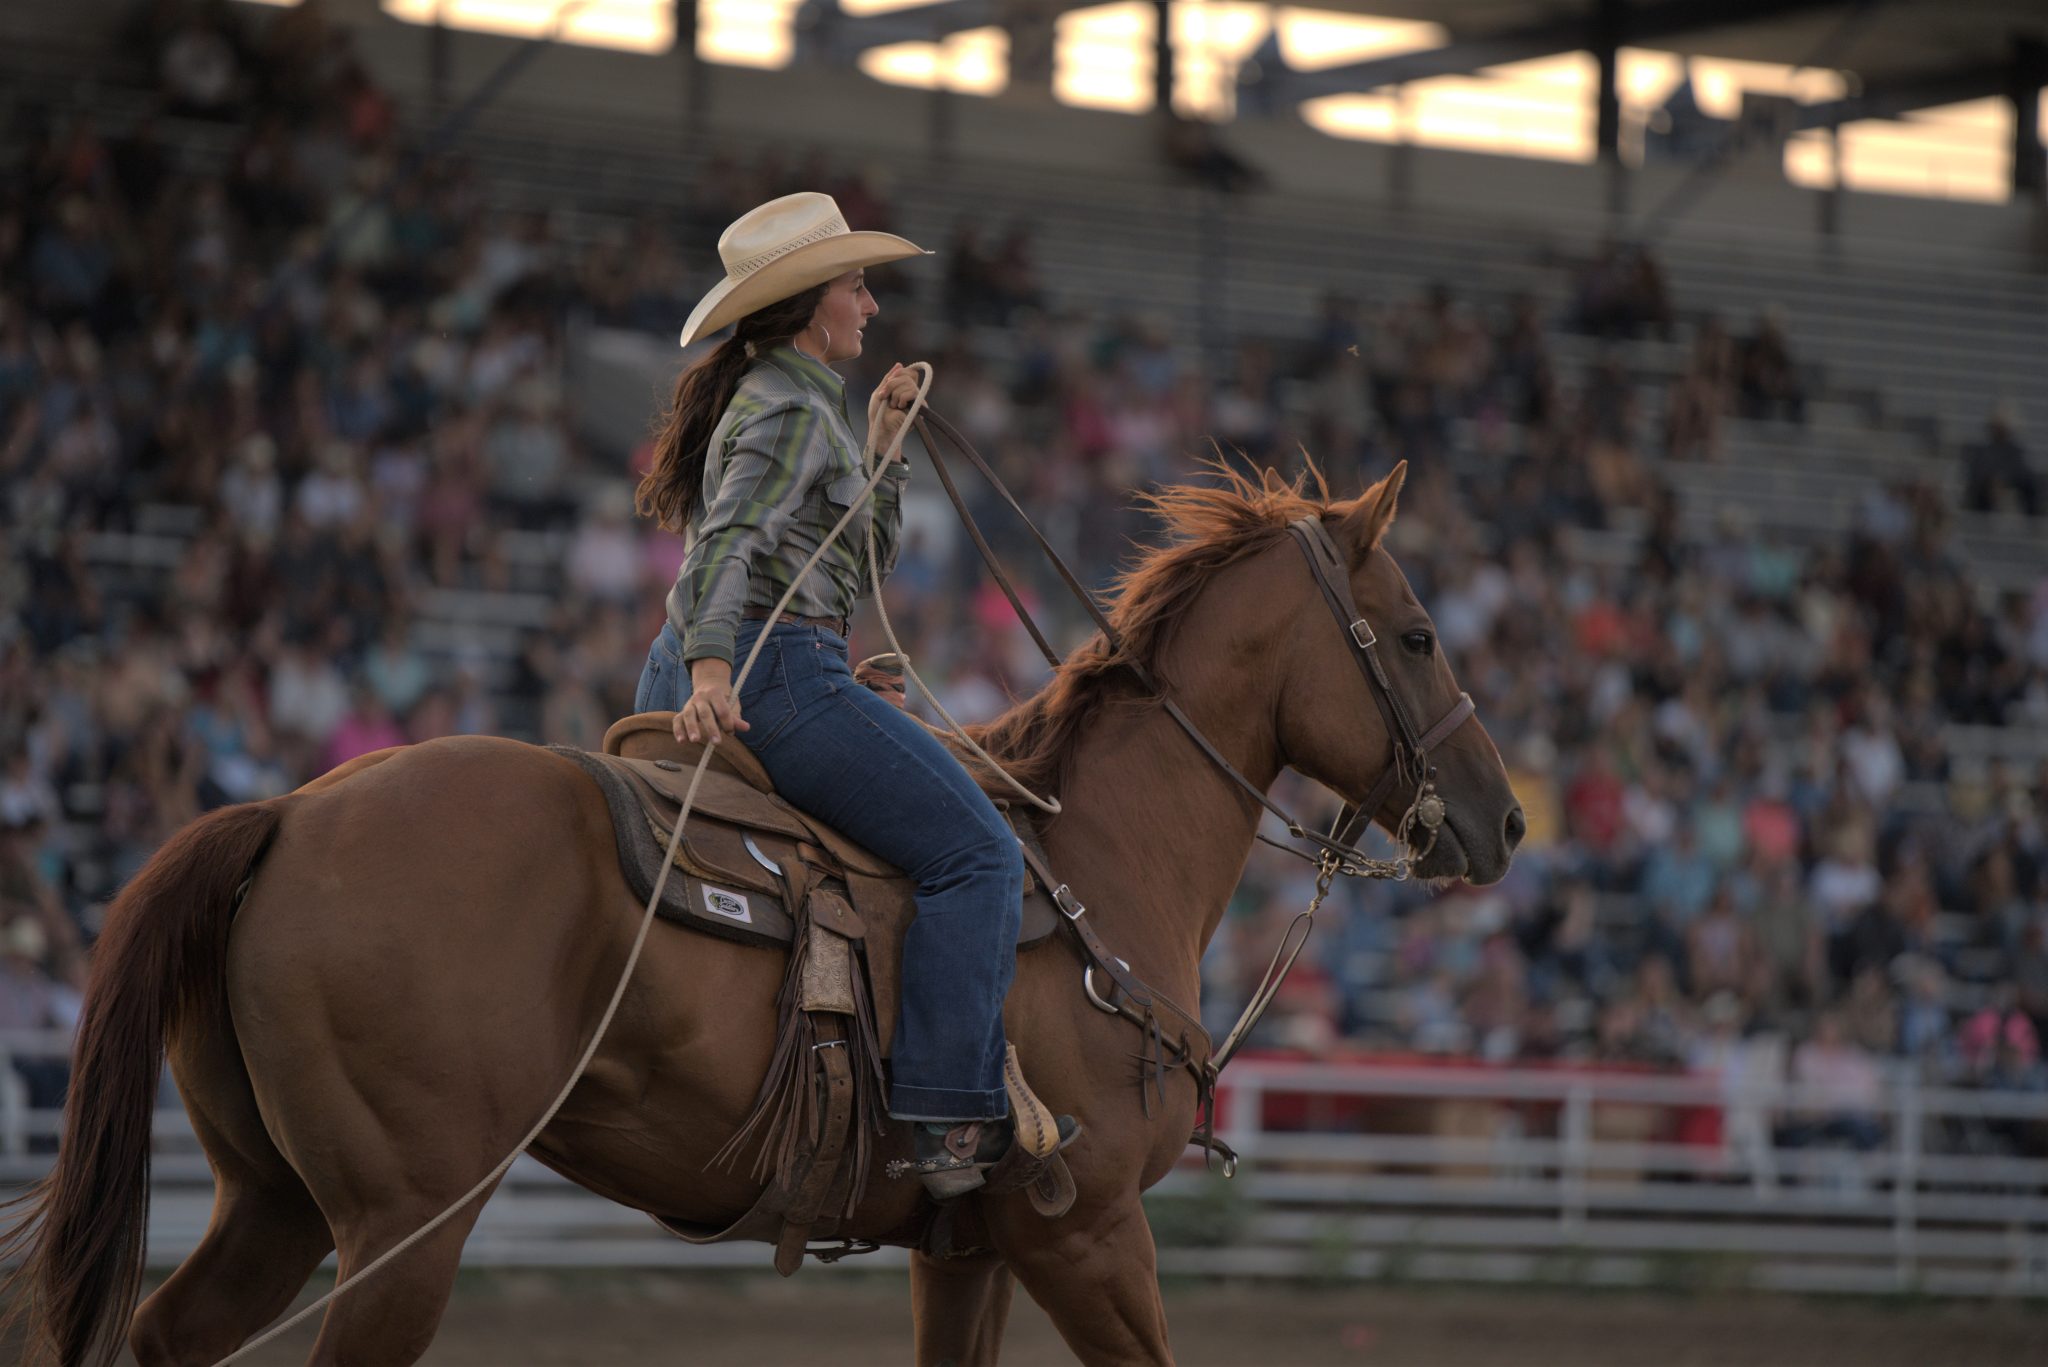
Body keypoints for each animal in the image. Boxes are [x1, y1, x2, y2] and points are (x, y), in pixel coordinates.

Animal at [4, 463, 1523, 1367]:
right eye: (1417, 633)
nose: (1505, 819)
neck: (1098, 855)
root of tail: (286, 812)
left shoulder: (975, 1246)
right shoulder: (1086, 1230)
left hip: (272, 1198)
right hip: (404, 1219)